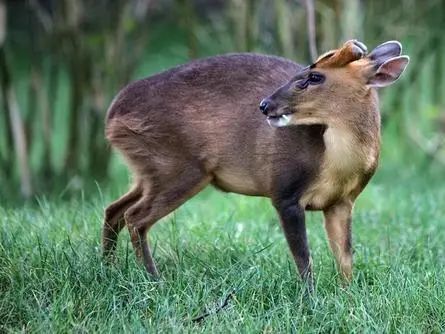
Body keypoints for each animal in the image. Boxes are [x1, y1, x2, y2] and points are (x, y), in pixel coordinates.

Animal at [102, 39, 408, 284]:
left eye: (315, 77)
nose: (264, 105)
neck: (334, 164)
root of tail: (113, 116)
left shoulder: (341, 202)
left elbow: (345, 258)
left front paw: (348, 296)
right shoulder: (285, 192)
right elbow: (304, 259)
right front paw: (310, 299)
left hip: (150, 169)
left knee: (115, 209)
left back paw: (109, 268)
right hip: (177, 166)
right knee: (135, 217)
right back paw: (154, 280)